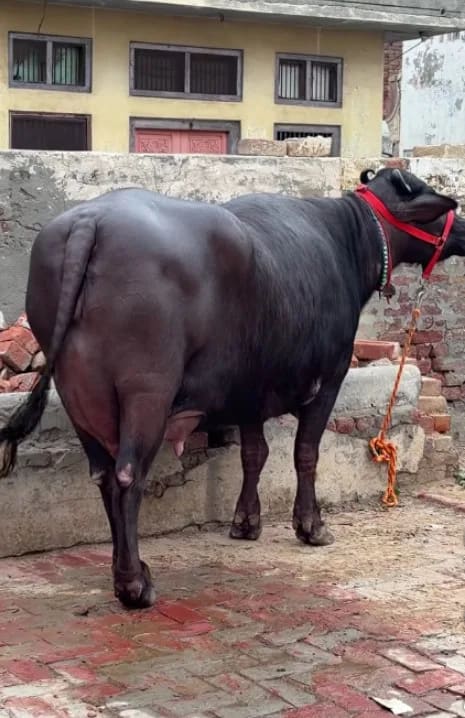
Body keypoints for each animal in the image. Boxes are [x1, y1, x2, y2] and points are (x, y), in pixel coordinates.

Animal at [0, 167, 463, 609]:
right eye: (429, 198)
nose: (461, 226)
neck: (348, 240)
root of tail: (89, 221)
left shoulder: (250, 392)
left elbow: (253, 455)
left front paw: (245, 522)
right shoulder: (329, 380)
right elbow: (305, 454)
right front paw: (311, 526)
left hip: (79, 395)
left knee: (104, 477)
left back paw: (126, 569)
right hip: (147, 393)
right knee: (128, 477)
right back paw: (135, 585)